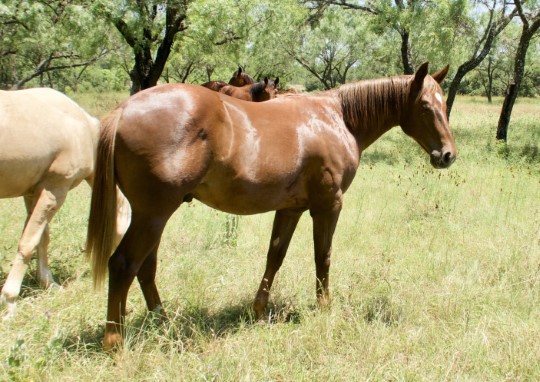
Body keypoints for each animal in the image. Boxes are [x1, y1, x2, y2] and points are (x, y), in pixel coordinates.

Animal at [0, 87, 131, 320]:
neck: (83, 131)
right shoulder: (55, 188)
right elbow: (29, 242)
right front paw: (9, 302)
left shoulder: (33, 192)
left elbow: (42, 238)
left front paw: (48, 283)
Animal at [87, 62, 456, 350]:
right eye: (425, 105)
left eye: (443, 104)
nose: (448, 155)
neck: (337, 118)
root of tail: (124, 109)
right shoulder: (328, 205)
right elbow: (322, 257)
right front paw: (324, 307)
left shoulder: (290, 208)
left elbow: (275, 256)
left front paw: (259, 311)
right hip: (153, 214)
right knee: (123, 265)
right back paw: (115, 343)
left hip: (154, 216)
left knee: (145, 268)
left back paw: (161, 322)